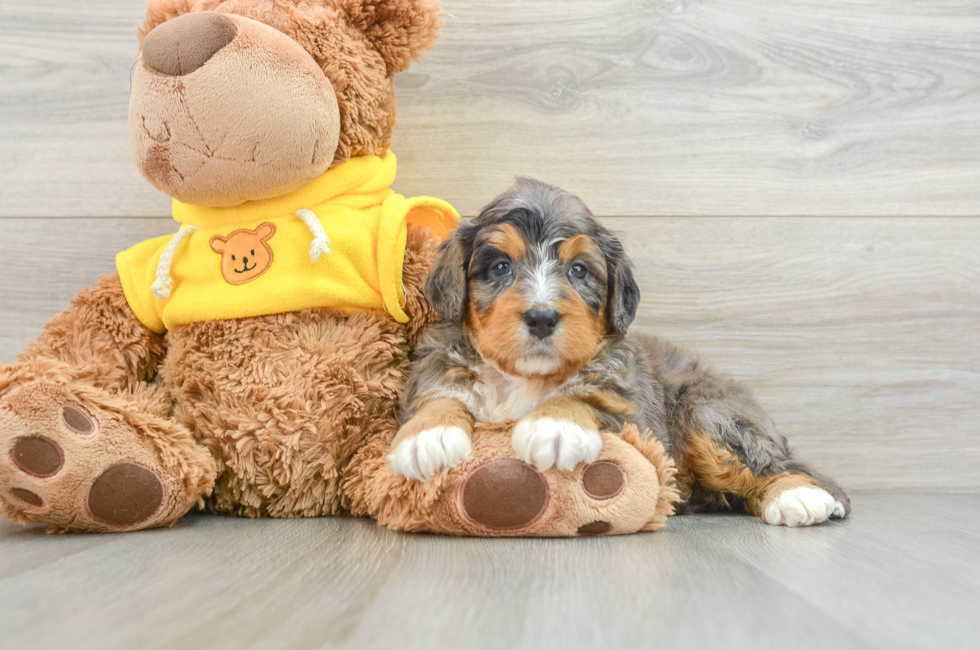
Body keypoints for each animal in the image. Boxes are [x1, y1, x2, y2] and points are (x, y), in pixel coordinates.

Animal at [386, 178, 848, 528]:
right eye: (500, 267)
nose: (541, 317)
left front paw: (555, 426)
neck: (525, 378)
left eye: (578, 270)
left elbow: (587, 396)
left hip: (708, 414)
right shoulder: (438, 362)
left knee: (771, 463)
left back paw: (797, 496)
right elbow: (439, 395)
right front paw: (428, 436)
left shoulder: (629, 406)